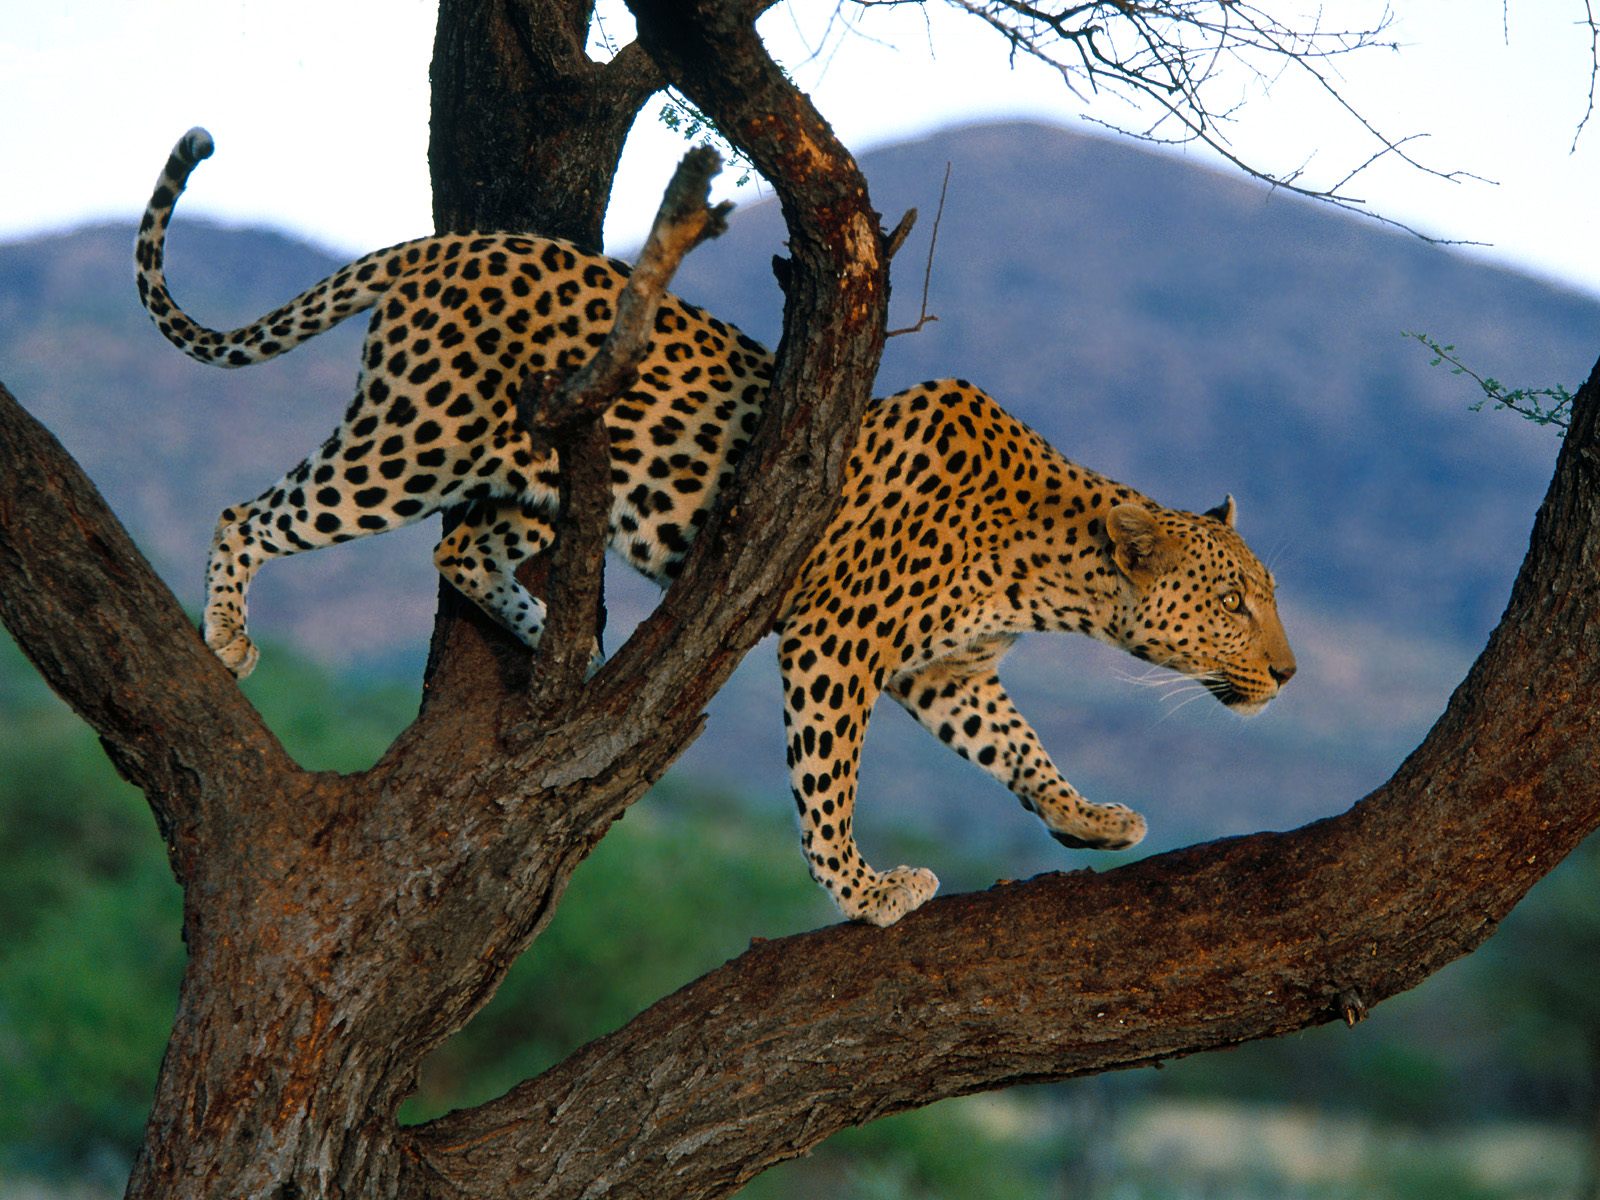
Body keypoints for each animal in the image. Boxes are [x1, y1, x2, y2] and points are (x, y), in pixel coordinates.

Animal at [131, 124, 1292, 928]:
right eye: (1237, 601)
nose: (1286, 674)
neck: (1052, 575)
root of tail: (445, 244)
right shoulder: (836, 642)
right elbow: (827, 780)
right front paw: (865, 890)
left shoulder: (947, 670)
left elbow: (1020, 745)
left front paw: (1085, 816)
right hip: (412, 441)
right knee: (255, 512)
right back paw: (230, 636)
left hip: (531, 473)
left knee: (461, 548)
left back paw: (568, 642)